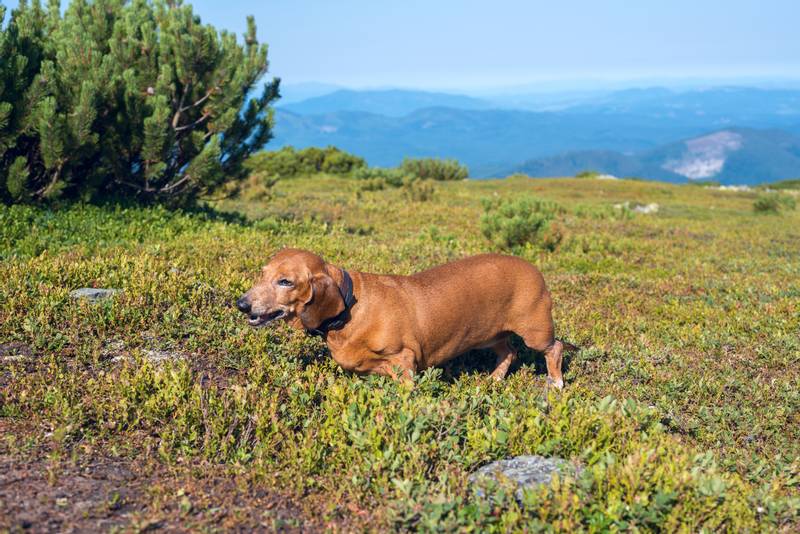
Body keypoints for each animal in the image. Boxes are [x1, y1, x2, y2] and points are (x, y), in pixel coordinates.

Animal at [238, 249, 576, 388]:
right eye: (263, 274)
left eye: (285, 282)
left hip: (536, 332)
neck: (349, 309)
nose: (242, 304)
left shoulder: (404, 360)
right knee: (508, 352)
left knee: (555, 348)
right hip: (489, 336)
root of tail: (534, 268)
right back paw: (493, 380)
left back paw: (556, 383)